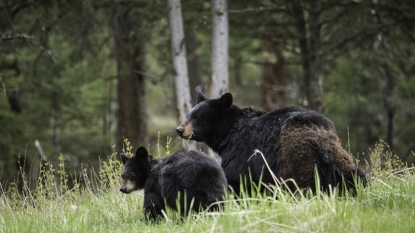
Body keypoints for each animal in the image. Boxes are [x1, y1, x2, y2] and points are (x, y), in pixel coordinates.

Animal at [176, 92, 368, 195]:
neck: (228, 133)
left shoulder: (241, 152)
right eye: (189, 114)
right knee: (354, 176)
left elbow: (235, 179)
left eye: (197, 117)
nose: (179, 129)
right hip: (338, 158)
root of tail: (320, 138)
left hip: (296, 158)